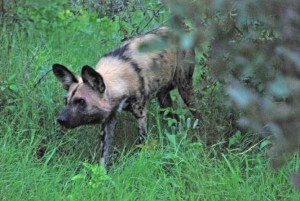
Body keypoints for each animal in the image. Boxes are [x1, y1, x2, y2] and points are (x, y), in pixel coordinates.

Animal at [52, 27, 200, 168]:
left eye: (81, 102)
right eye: (66, 101)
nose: (60, 120)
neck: (120, 81)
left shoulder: (141, 114)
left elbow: (142, 143)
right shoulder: (108, 121)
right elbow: (104, 156)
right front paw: (102, 174)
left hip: (185, 89)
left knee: (198, 116)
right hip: (163, 99)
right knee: (176, 120)